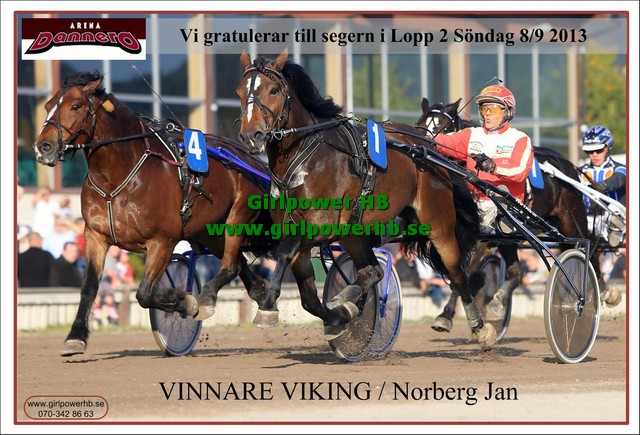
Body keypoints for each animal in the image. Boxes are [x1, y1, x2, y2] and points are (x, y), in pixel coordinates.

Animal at [33, 70, 274, 356]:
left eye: (75, 106)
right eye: (48, 106)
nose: (43, 147)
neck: (116, 178)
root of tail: (249, 159)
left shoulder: (162, 241)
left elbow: (145, 293)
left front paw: (186, 302)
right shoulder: (95, 236)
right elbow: (89, 287)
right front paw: (75, 336)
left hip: (236, 218)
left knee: (229, 264)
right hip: (210, 231)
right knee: (237, 263)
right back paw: (261, 295)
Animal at [234, 49, 498, 350]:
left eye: (274, 90)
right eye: (239, 92)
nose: (250, 136)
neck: (305, 157)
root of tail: (429, 149)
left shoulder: (323, 225)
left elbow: (285, 250)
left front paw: (267, 304)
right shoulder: (299, 228)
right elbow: (309, 298)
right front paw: (339, 315)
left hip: (438, 224)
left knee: (457, 274)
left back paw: (477, 326)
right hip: (356, 231)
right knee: (372, 272)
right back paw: (348, 299)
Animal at [417, 97, 620, 335]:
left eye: (444, 126)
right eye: (421, 123)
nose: (426, 144)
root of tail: (568, 165)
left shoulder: (482, 236)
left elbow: (463, 271)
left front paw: (447, 315)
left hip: (571, 218)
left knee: (586, 248)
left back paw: (602, 291)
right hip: (512, 234)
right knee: (515, 271)